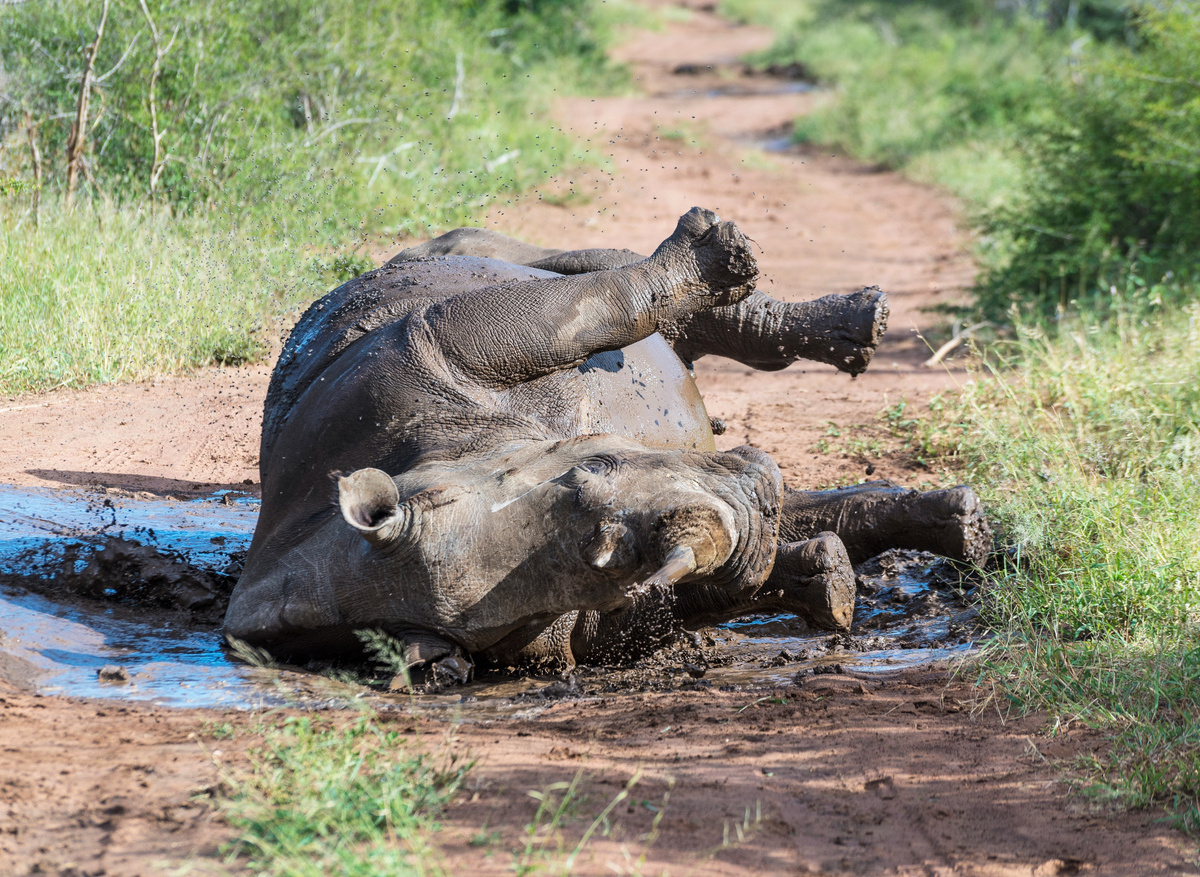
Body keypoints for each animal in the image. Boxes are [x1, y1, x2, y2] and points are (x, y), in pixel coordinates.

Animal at [225, 208, 989, 678]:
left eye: (592, 468)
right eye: (606, 560)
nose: (746, 510)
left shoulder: (425, 349)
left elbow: (588, 307)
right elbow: (684, 595)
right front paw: (815, 578)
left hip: (442, 268)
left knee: (591, 273)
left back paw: (844, 314)